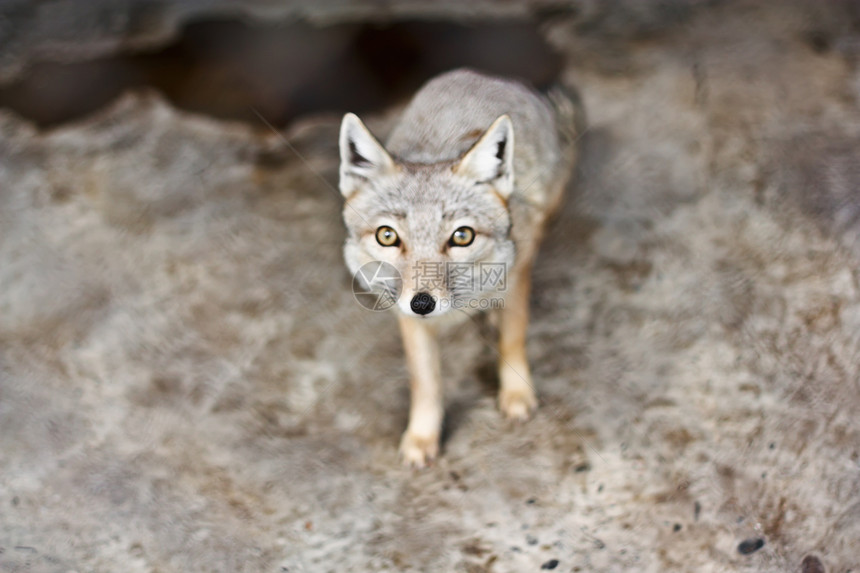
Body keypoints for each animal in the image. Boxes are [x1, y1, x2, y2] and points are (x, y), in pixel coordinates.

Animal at [340, 69, 580, 466]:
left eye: (462, 236)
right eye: (387, 236)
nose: (423, 304)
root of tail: (484, 76)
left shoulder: (516, 274)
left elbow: (513, 339)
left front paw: (516, 394)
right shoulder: (404, 313)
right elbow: (425, 380)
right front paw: (422, 436)